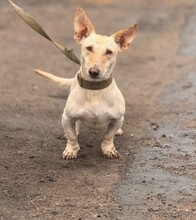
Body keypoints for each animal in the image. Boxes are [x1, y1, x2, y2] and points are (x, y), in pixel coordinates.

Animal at [33, 7, 137, 159]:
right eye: (89, 48)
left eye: (109, 52)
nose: (93, 71)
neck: (94, 89)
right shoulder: (67, 117)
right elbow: (72, 136)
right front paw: (71, 149)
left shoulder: (118, 119)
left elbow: (108, 136)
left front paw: (108, 149)